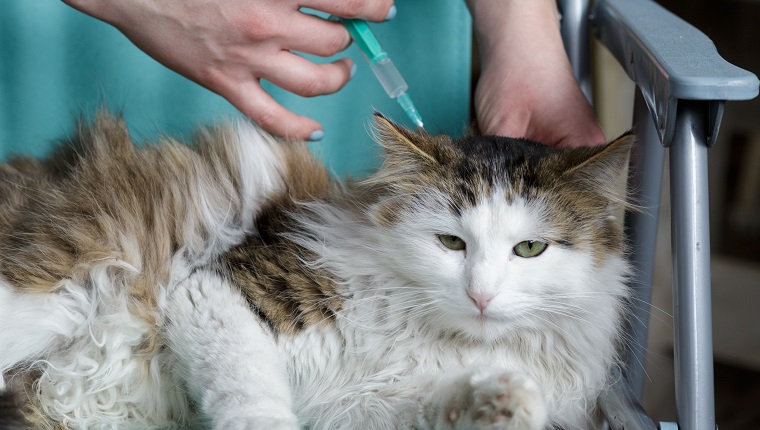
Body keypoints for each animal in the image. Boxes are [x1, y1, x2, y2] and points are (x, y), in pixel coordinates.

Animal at [0, 112, 632, 428]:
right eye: (451, 242)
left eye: (529, 249)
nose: (481, 295)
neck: (433, 339)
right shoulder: (214, 290)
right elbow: (250, 391)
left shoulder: (363, 408)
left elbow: (435, 404)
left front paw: (503, 403)